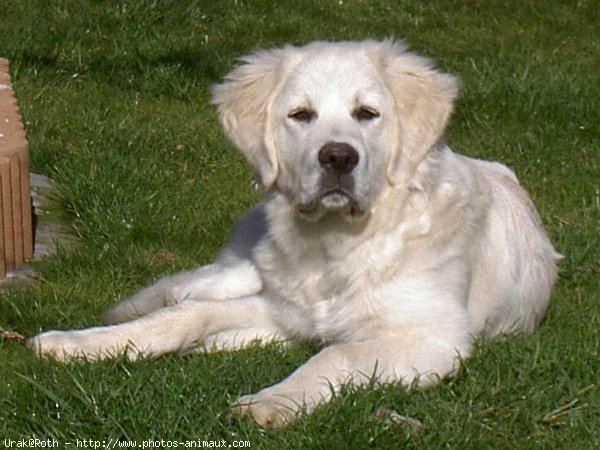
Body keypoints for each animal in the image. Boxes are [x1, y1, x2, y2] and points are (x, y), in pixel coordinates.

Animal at [29, 39, 564, 428]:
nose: (339, 158)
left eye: (367, 114)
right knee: (189, 291)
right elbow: (182, 318)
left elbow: (336, 356)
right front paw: (80, 344)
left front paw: (272, 402)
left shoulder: (431, 337)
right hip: (243, 264)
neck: (333, 246)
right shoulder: (284, 311)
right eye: (301, 115)